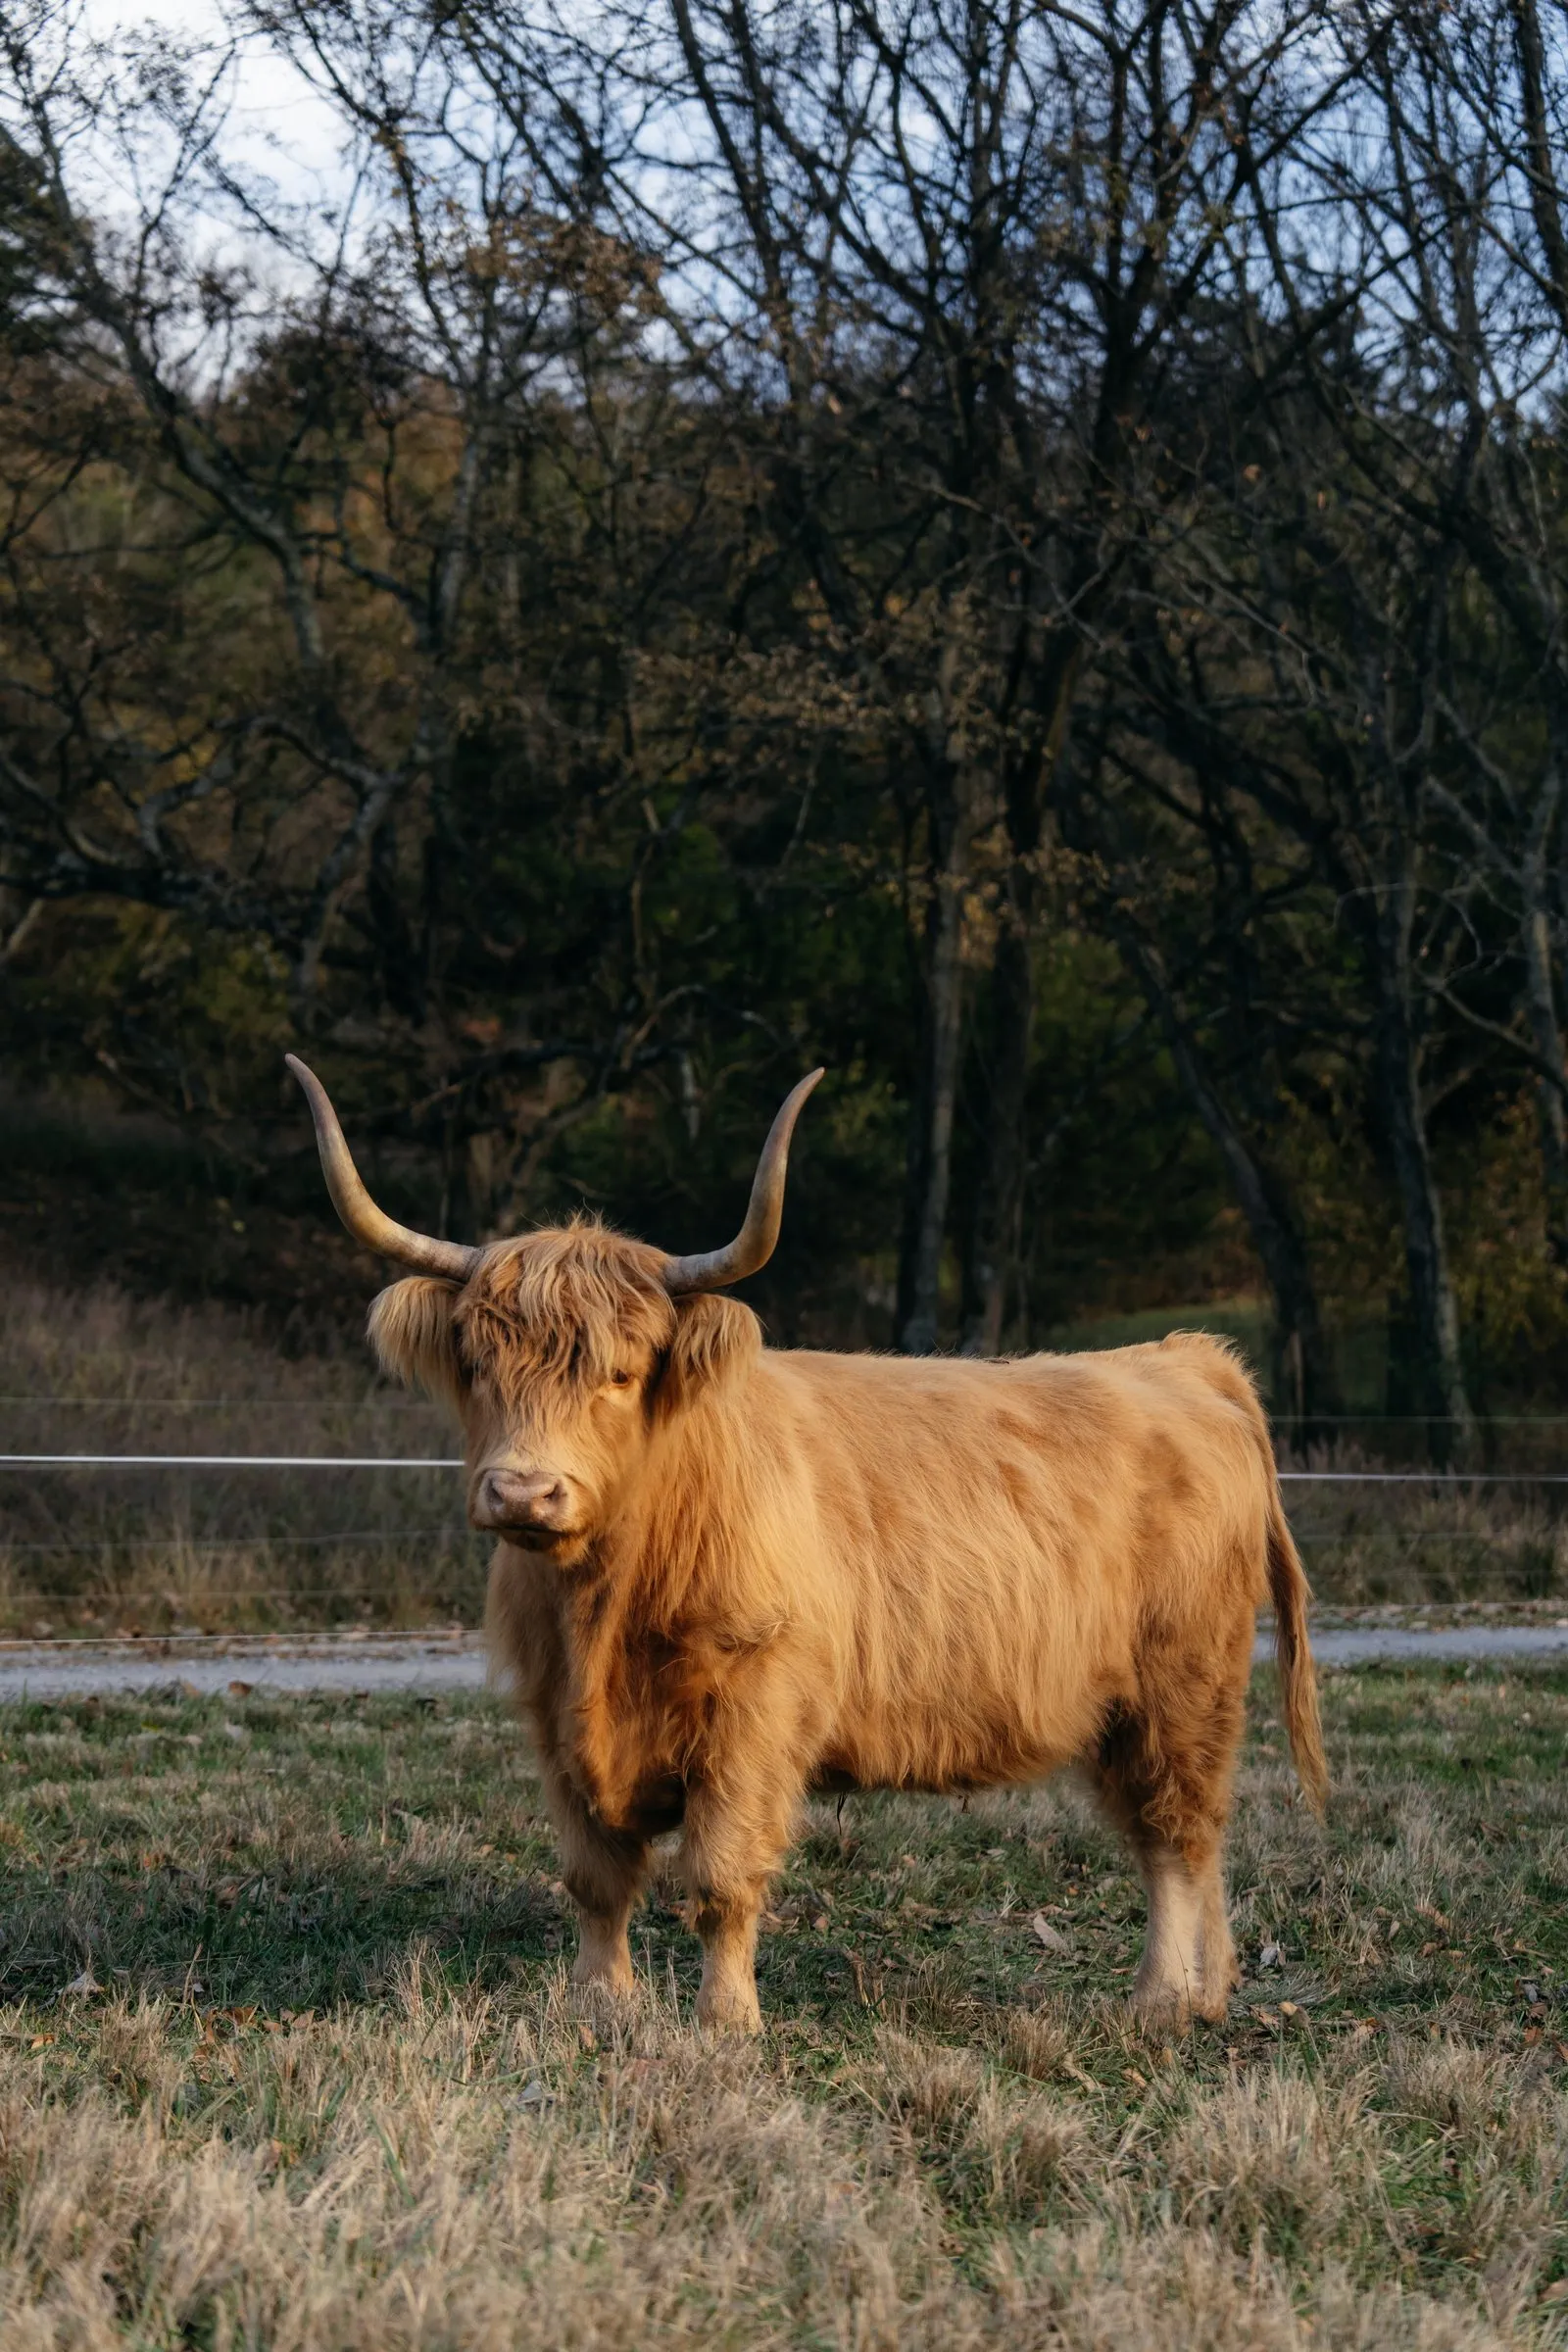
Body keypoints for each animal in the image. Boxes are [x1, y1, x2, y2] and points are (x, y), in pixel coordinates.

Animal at [287, 1054, 1326, 2034]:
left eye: (621, 1375)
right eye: (477, 1367)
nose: (521, 1491)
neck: (604, 1608)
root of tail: (1185, 1359)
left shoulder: (753, 1711)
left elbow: (719, 1877)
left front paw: (725, 2021)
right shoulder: (554, 1719)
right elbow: (595, 1878)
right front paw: (599, 2006)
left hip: (1183, 1684)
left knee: (1177, 1834)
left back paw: (1160, 1998)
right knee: (1185, 1836)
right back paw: (1210, 1994)